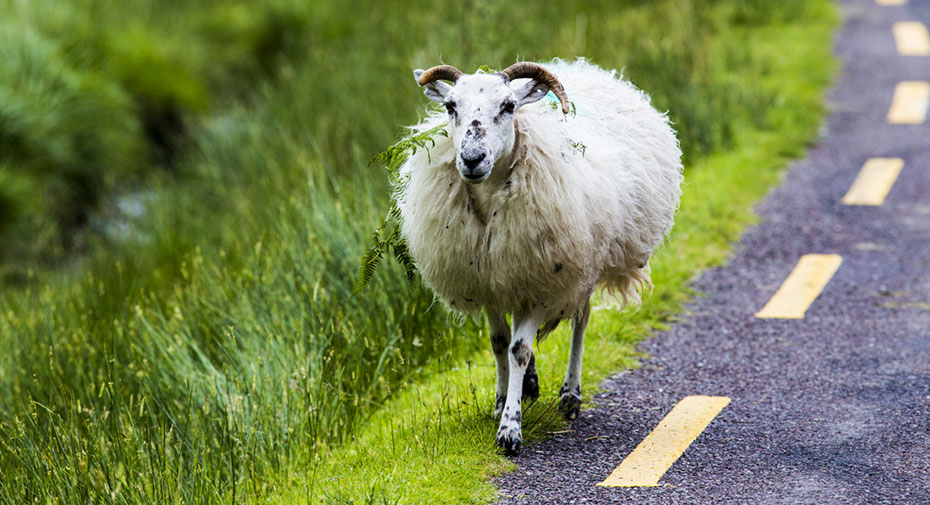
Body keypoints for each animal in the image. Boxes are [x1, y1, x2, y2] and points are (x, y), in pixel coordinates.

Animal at [394, 59, 680, 452]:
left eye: (508, 106)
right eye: (451, 106)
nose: (471, 159)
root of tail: (588, 70)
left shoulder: (541, 284)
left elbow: (519, 350)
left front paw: (510, 428)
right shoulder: (490, 282)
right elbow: (500, 344)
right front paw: (502, 401)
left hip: (580, 268)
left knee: (580, 321)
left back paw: (570, 395)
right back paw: (529, 385)